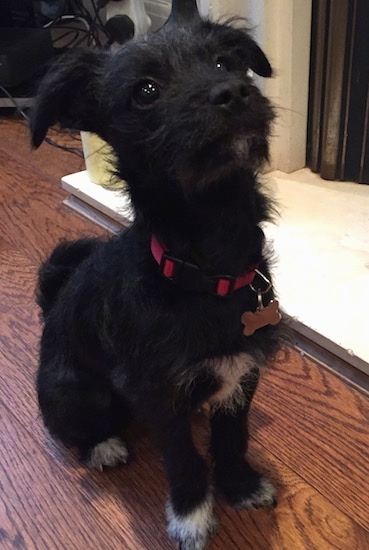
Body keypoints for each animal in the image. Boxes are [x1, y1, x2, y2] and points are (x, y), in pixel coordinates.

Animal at [31, 2, 284, 548]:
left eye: (227, 62)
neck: (208, 269)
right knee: (71, 431)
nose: (234, 92)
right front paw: (192, 516)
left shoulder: (242, 372)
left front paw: (240, 486)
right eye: (145, 91)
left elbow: (232, 438)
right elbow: (185, 459)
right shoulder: (156, 394)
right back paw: (103, 446)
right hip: (76, 394)